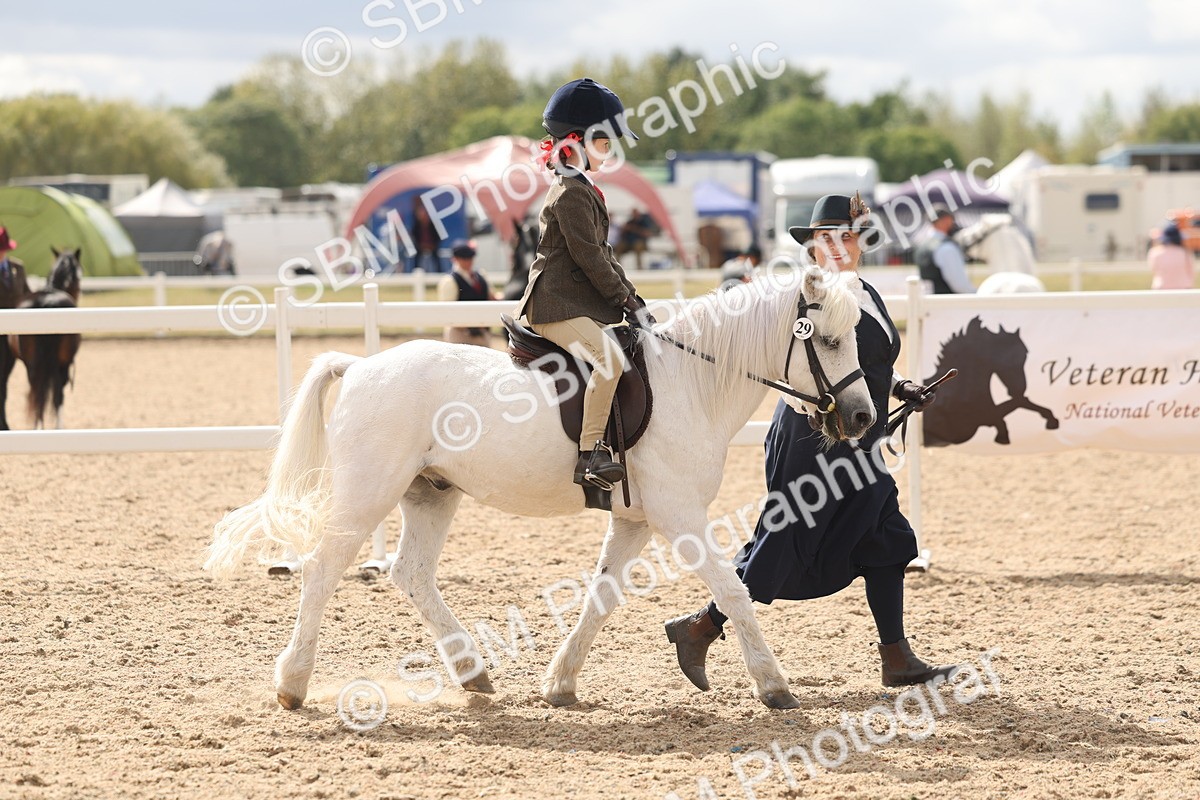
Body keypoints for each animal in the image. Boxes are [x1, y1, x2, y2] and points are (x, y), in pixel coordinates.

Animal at [206, 266, 875, 712]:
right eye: (829, 340)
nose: (864, 417)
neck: (692, 381)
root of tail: (362, 366)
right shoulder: (678, 515)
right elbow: (734, 592)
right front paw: (774, 685)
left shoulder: (635, 520)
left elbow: (601, 598)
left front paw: (560, 683)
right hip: (369, 491)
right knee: (322, 570)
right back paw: (293, 684)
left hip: (431, 493)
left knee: (411, 573)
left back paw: (473, 674)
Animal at [921, 316, 1059, 446]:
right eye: (1000, 356)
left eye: (1025, 353)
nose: (1019, 389)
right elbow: (1008, 411)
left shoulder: (987, 414)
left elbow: (1020, 402)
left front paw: (1051, 419)